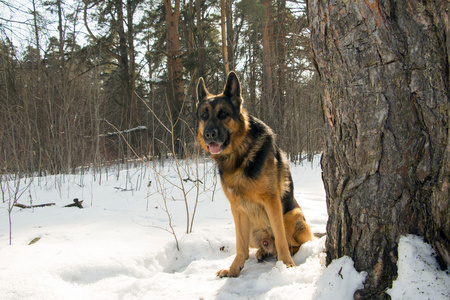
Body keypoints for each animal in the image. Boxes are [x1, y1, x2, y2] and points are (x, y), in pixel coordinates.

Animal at [197, 72, 312, 276]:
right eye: (204, 116)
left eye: (223, 114)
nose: (209, 134)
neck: (239, 154)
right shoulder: (237, 208)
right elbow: (240, 246)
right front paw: (234, 270)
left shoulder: (272, 201)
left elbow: (281, 239)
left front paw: (287, 265)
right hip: (253, 228)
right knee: (261, 246)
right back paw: (261, 252)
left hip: (292, 215)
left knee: (293, 243)